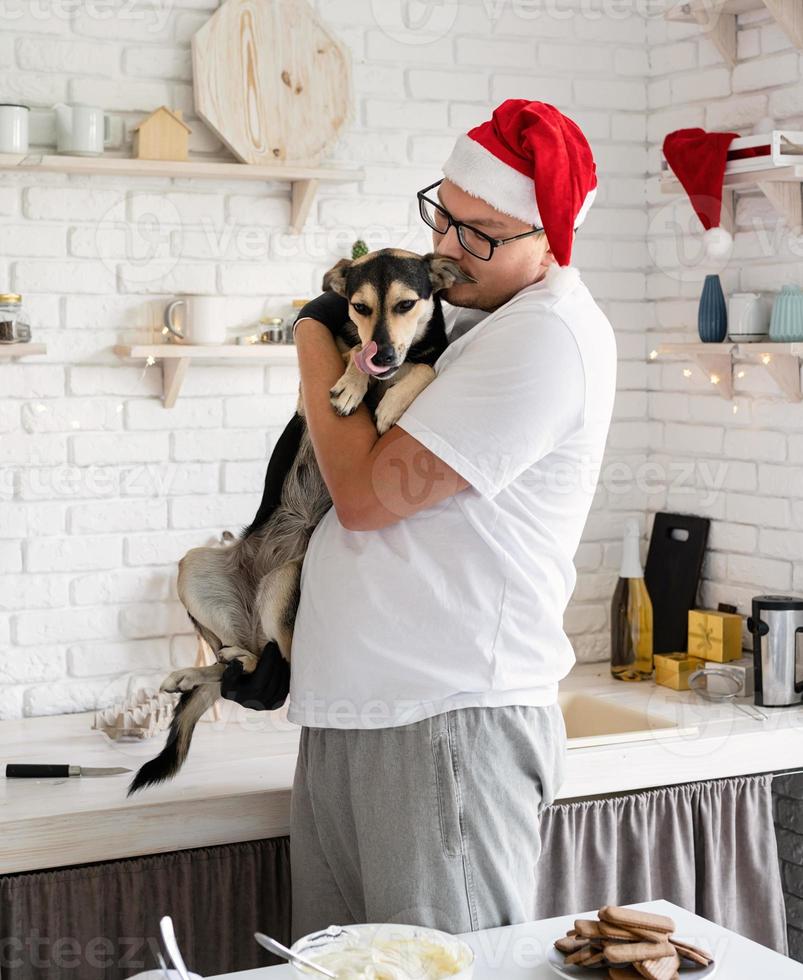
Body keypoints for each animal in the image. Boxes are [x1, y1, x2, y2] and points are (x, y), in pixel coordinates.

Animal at [129, 249, 474, 792]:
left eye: (406, 304)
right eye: (358, 306)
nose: (381, 356)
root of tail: (251, 623)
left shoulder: (418, 359)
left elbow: (425, 367)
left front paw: (391, 400)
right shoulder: (304, 394)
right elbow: (345, 353)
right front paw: (352, 380)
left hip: (282, 582)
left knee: (278, 671)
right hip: (196, 567)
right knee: (257, 672)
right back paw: (204, 670)